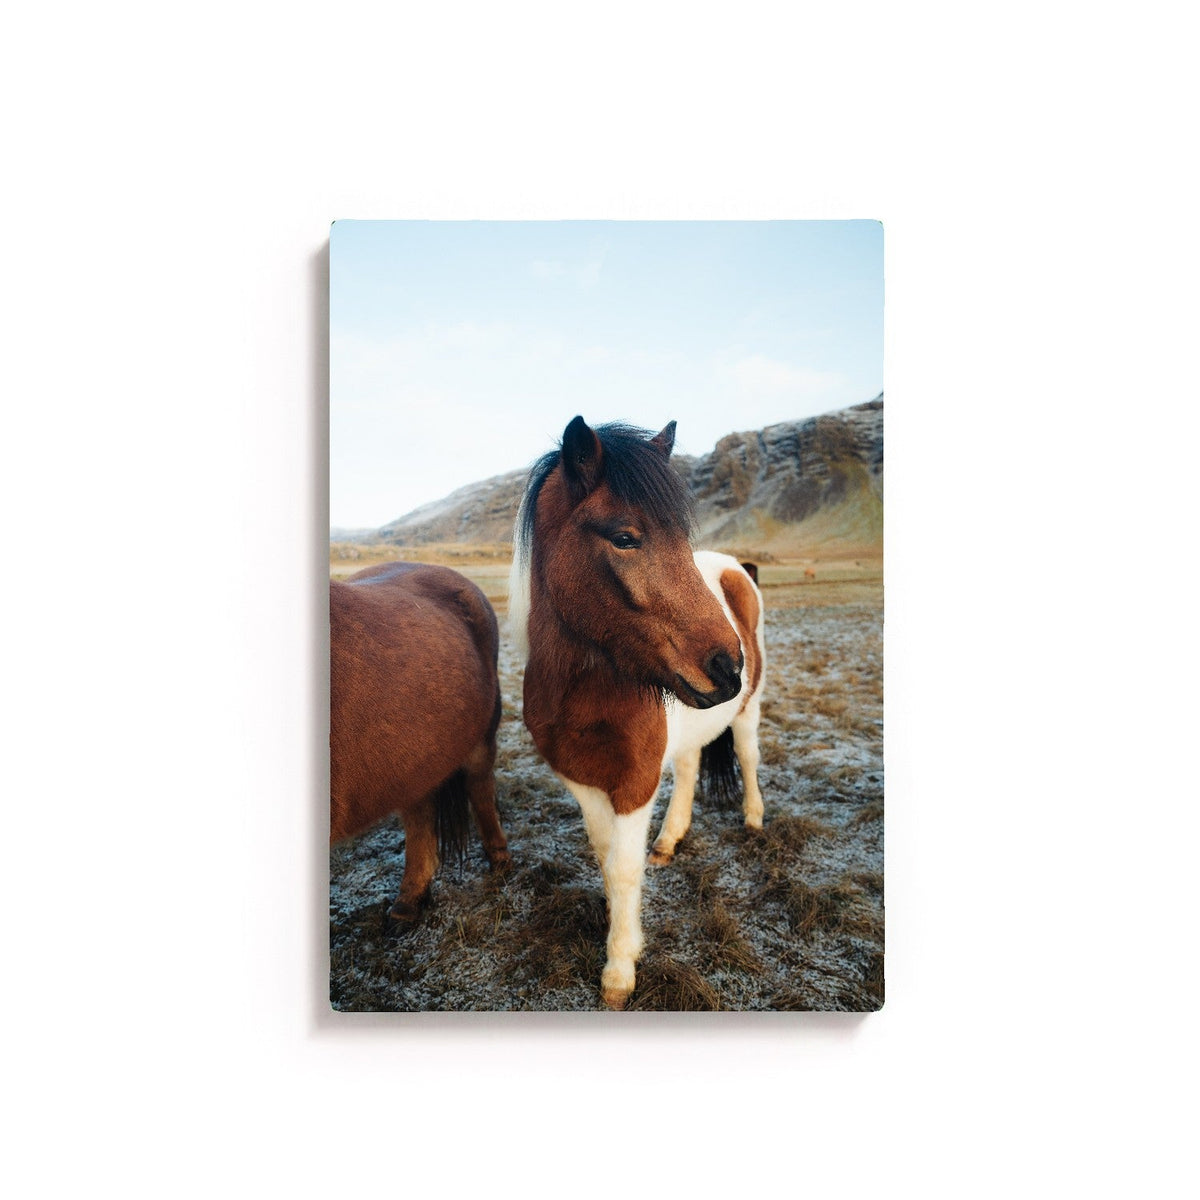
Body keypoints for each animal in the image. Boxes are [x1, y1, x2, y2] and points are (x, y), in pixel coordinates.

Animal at [330, 561, 511, 922]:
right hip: (415, 759)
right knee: (420, 813)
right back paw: (409, 902)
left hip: (480, 741)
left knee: (480, 789)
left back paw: (499, 859)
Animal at [509, 417, 766, 1008]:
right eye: (624, 537)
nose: (727, 667)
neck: (585, 692)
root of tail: (736, 568)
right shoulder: (582, 779)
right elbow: (606, 858)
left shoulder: (635, 782)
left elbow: (624, 870)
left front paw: (620, 967)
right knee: (691, 770)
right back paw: (669, 841)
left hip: (749, 712)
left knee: (747, 756)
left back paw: (754, 819)